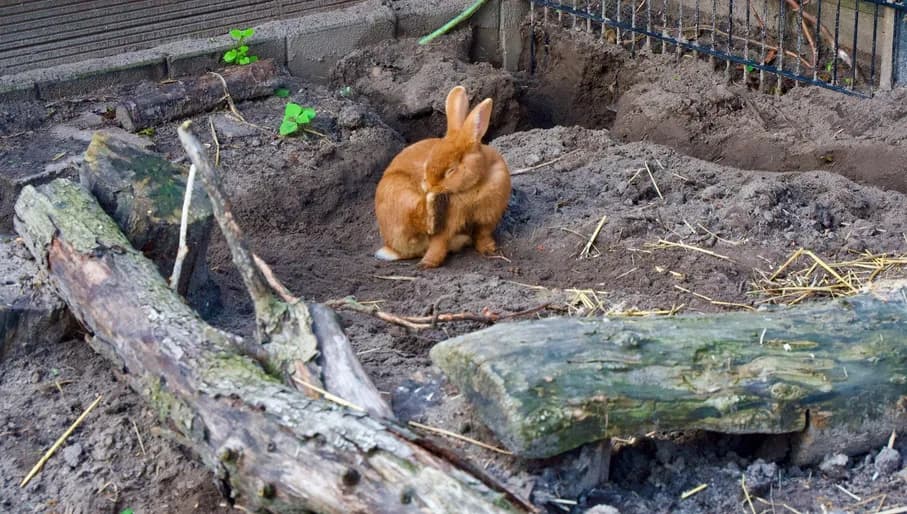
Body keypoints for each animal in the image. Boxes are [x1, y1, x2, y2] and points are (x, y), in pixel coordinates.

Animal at [374, 85, 511, 268]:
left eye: (451, 170)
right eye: (428, 161)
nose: (428, 185)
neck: (475, 186)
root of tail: (391, 248)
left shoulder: (487, 219)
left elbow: (483, 235)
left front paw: (489, 250)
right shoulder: (447, 225)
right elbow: (438, 244)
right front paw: (428, 264)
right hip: (401, 197)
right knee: (419, 219)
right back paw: (432, 204)